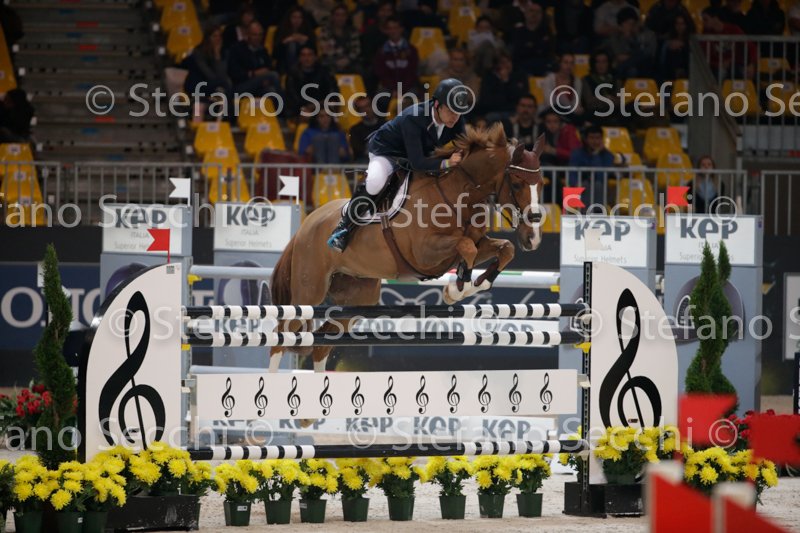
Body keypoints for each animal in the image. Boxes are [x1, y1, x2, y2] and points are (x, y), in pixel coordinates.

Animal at [268, 122, 545, 371]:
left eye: (542, 184)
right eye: (517, 183)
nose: (533, 238)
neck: (458, 194)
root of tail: (307, 222)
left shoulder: (470, 246)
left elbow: (504, 248)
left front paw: (470, 285)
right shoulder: (425, 252)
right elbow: (467, 247)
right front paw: (456, 290)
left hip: (358, 295)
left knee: (321, 345)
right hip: (309, 292)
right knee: (280, 337)